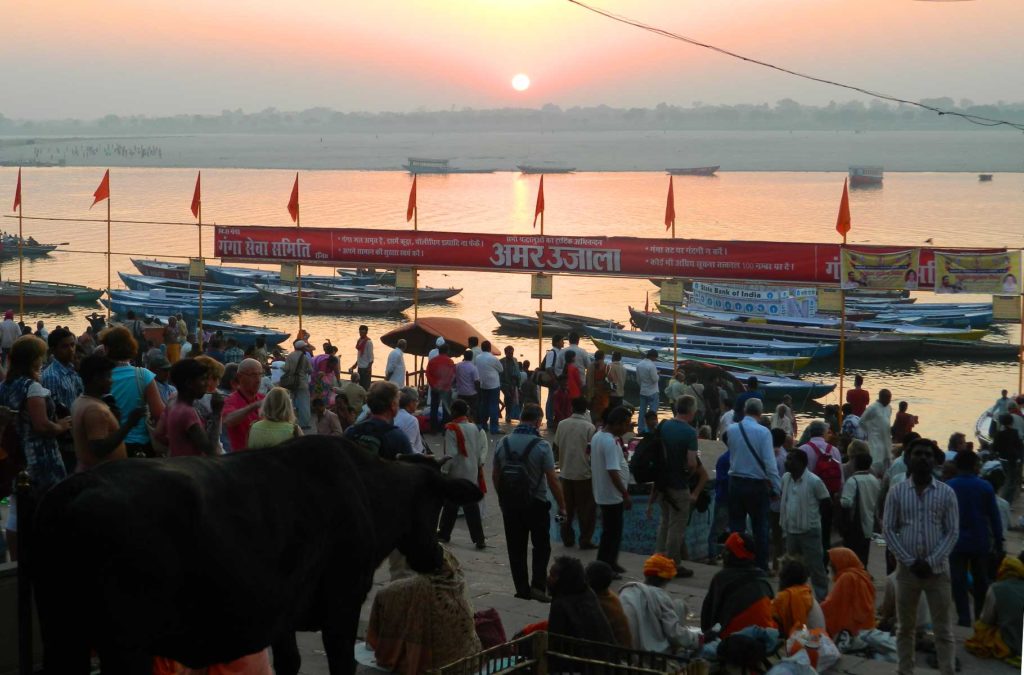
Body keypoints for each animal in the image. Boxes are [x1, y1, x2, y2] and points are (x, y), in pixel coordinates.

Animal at [29, 436, 481, 671]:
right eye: (437, 503)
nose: (433, 558)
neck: (369, 491)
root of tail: (74, 487)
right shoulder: (343, 601)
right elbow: (341, 662)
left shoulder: (280, 612)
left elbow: (290, 661)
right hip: (125, 642)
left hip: (60, 630)